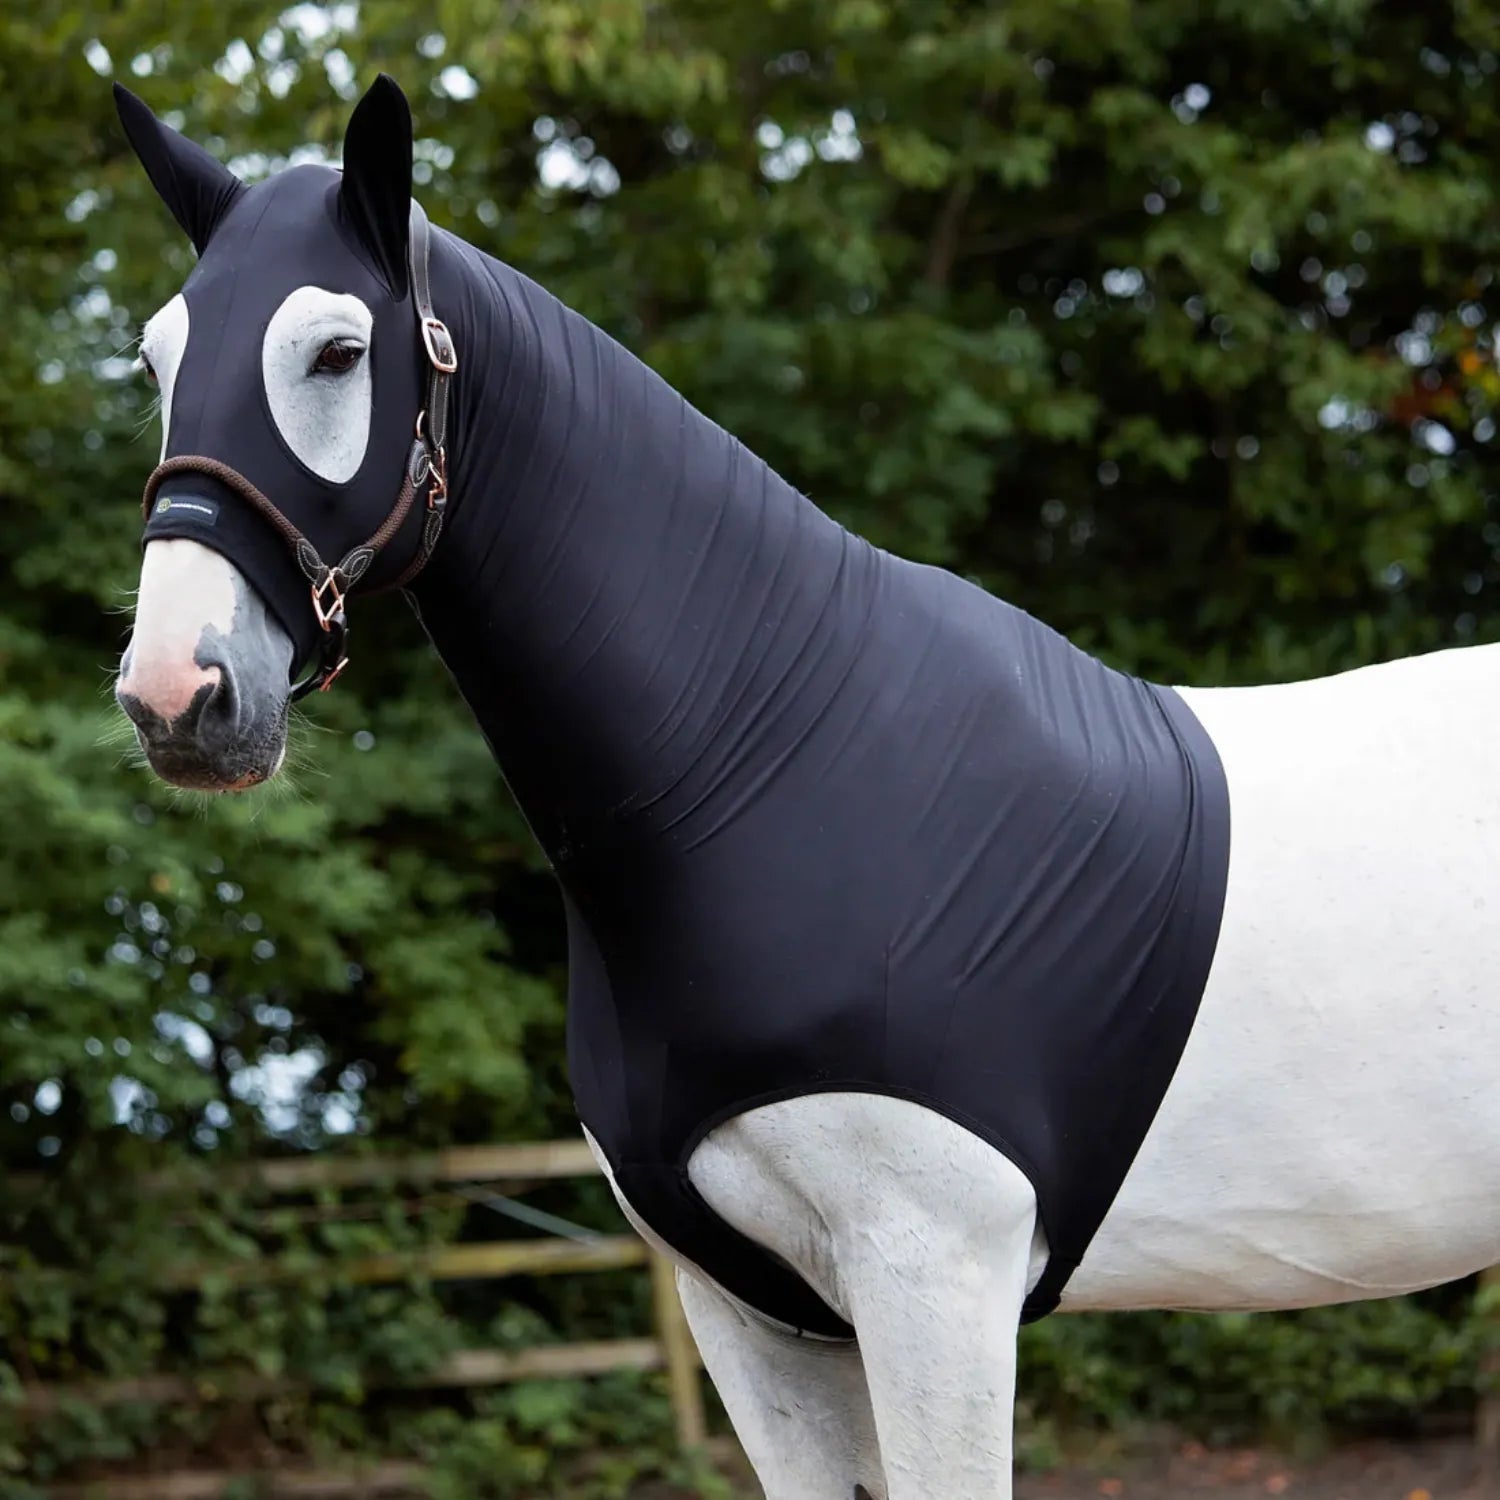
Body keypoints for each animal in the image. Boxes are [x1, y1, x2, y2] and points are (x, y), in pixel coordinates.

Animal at [110, 75, 1500, 1499]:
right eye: (155, 363)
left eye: (337, 354)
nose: (178, 696)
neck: (778, 773)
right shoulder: (750, 1309)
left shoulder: (935, 1280)